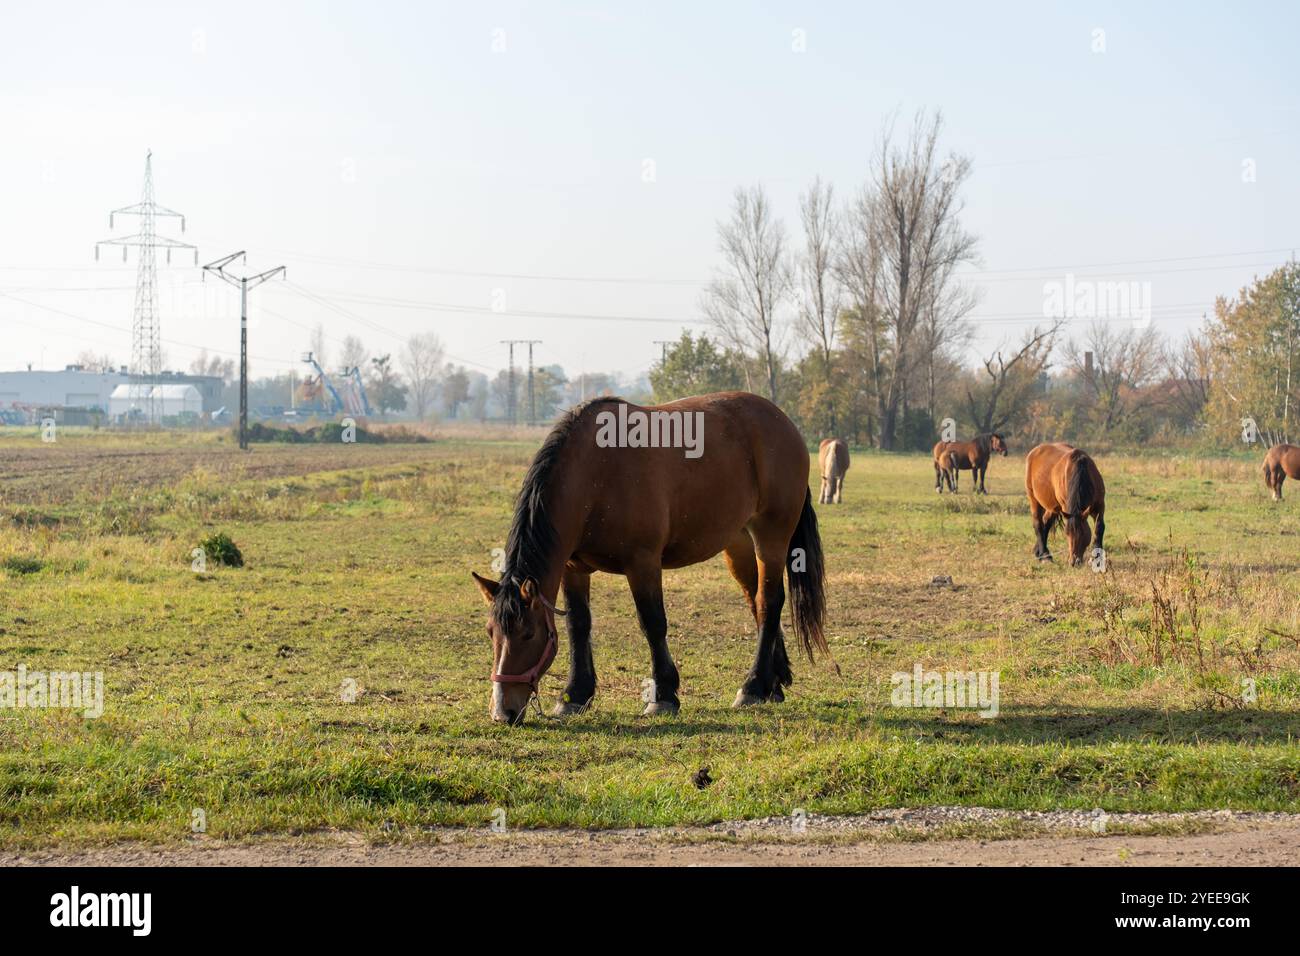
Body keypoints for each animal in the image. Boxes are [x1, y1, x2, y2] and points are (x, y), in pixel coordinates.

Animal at [473, 392, 826, 723]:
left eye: (528, 634)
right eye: (491, 632)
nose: (502, 711)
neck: (597, 474)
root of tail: (782, 421)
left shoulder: (643, 563)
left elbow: (652, 623)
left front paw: (663, 695)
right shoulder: (573, 569)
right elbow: (578, 624)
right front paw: (575, 694)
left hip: (771, 536)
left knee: (769, 602)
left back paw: (753, 686)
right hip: (738, 542)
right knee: (756, 600)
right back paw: (772, 684)